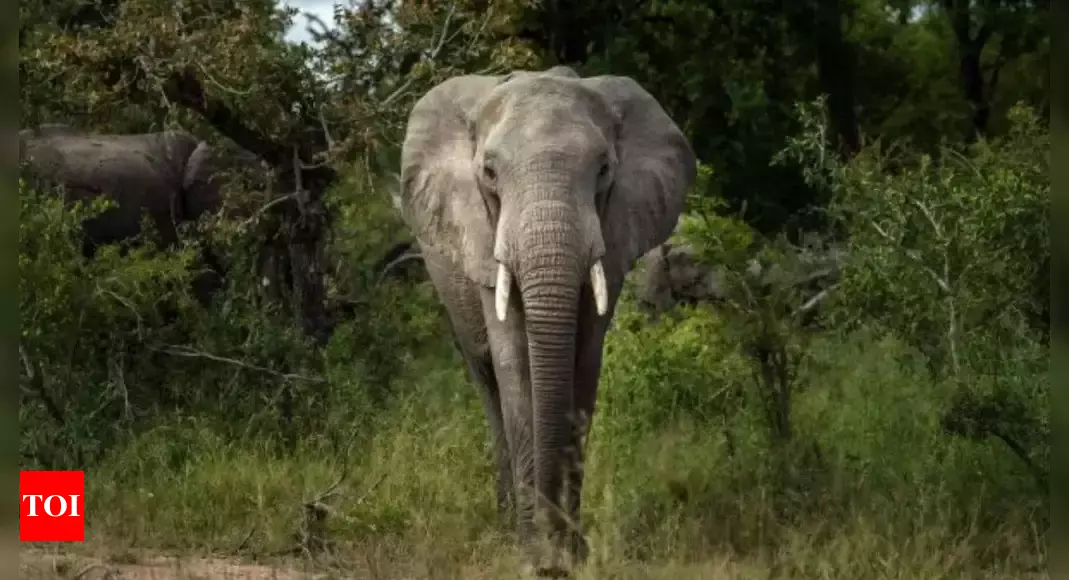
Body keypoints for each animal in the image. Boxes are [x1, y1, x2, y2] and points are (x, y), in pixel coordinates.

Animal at [397, 65, 696, 572]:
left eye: (603, 170)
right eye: (489, 173)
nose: (552, 554)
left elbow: (584, 365)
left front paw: (571, 553)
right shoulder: (482, 238)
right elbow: (515, 365)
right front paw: (534, 554)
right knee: (487, 384)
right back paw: (504, 523)